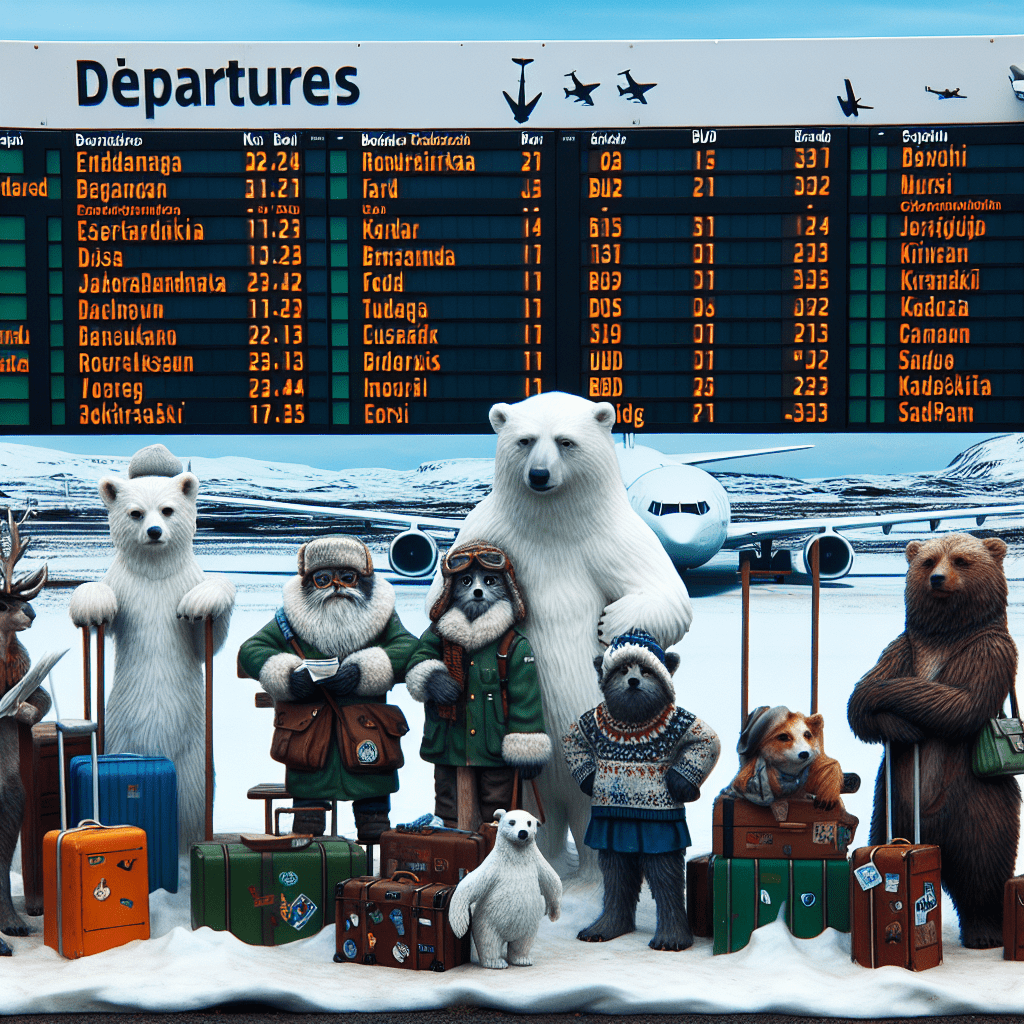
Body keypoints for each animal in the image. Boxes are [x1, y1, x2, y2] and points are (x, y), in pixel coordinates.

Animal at [69, 444, 234, 851]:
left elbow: (207, 639)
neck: (156, 573)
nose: (155, 531)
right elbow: (104, 610)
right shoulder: (126, 588)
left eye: (168, 509)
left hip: (195, 756)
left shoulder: (183, 583)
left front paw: (202, 602)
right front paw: (92, 604)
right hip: (118, 732)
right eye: (136, 512)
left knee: (193, 798)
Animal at [423, 391, 696, 872]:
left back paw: (588, 877)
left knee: (591, 807)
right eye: (525, 440)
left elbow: (668, 596)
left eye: (566, 441)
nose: (539, 475)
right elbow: (436, 595)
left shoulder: (614, 537)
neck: (552, 524)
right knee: (534, 805)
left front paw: (612, 621)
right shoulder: (488, 527)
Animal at [448, 806, 561, 966]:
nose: (522, 833)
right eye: (512, 822)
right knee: (488, 941)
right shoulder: (494, 866)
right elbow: (469, 884)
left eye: (529, 823)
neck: (517, 857)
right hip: (487, 922)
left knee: (523, 943)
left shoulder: (537, 863)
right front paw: (459, 926)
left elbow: (553, 880)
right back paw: (495, 962)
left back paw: (522, 959)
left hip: (529, 925)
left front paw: (554, 914)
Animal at [843, 532, 1019, 946]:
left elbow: (960, 701)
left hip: (977, 805)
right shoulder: (902, 648)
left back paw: (986, 933)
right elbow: (862, 698)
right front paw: (897, 722)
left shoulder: (990, 651)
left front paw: (899, 704)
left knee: (984, 868)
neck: (944, 638)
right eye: (927, 561)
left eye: (961, 560)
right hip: (889, 807)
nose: (937, 579)